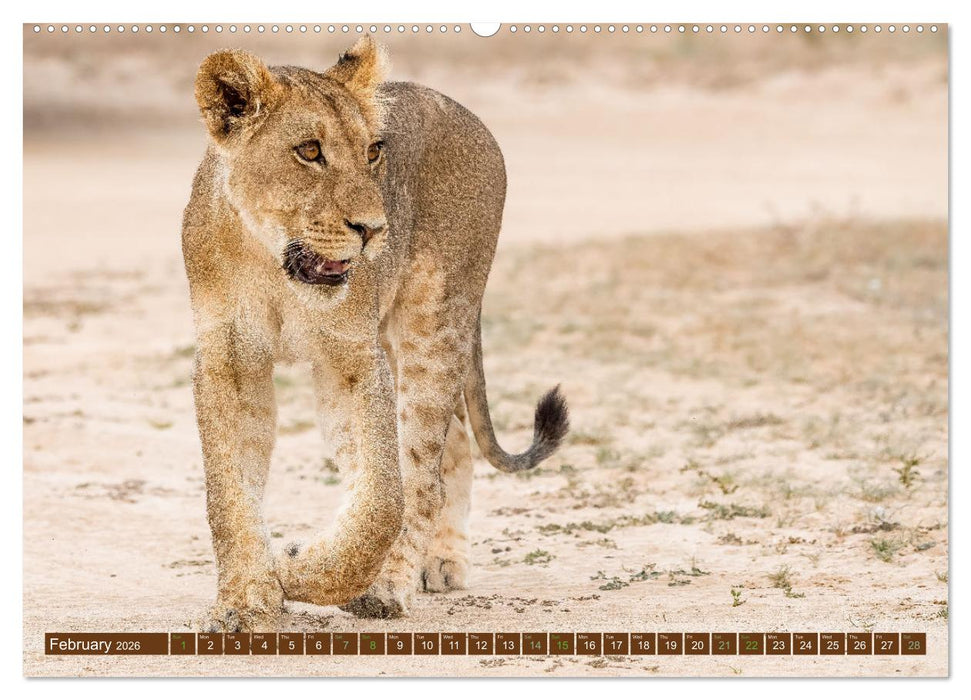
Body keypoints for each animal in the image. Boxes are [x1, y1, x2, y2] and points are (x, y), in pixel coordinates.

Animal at [182, 37, 569, 631]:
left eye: (372, 153)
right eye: (309, 151)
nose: (373, 230)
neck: (273, 264)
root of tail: (465, 111)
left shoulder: (352, 357)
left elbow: (385, 498)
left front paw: (296, 571)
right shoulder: (229, 359)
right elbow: (229, 492)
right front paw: (246, 602)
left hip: (434, 324)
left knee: (424, 472)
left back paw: (390, 586)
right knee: (454, 443)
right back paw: (439, 563)